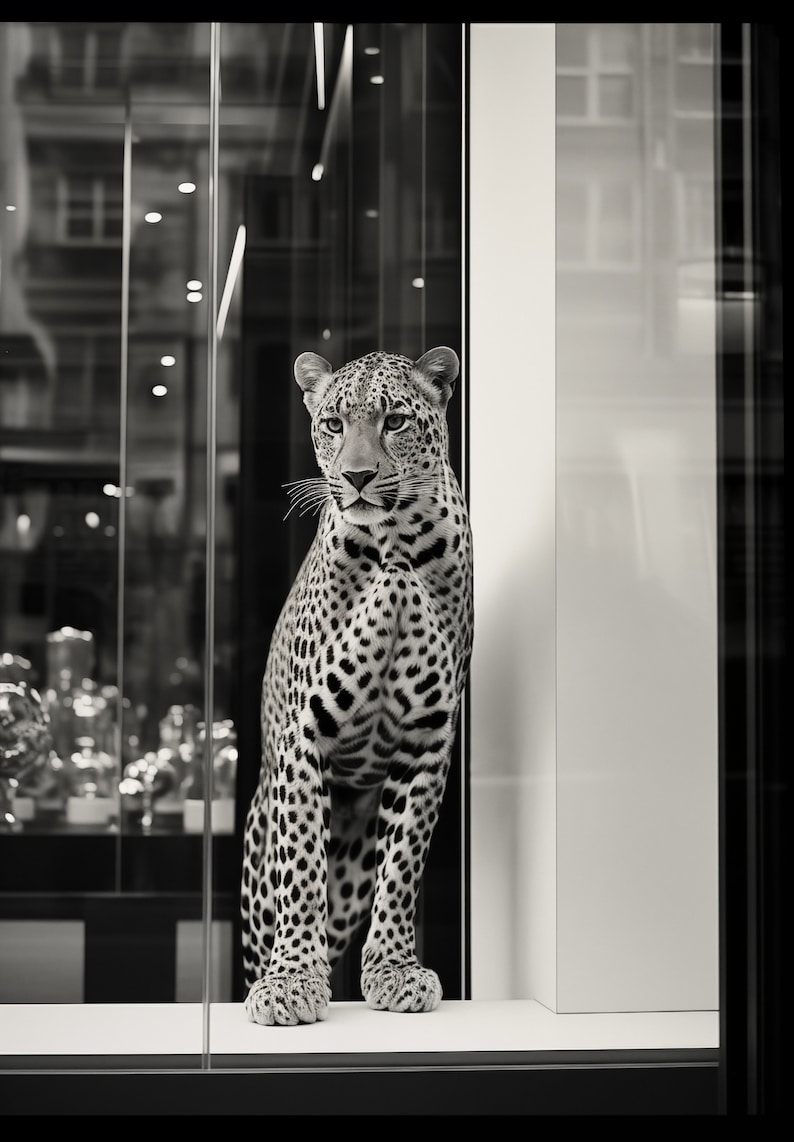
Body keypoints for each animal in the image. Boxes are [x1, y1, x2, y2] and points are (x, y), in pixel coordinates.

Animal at [241, 346, 473, 1026]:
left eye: (394, 421)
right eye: (333, 424)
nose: (360, 476)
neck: (393, 548)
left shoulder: (426, 739)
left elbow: (403, 866)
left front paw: (394, 972)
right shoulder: (304, 736)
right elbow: (300, 868)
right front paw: (292, 981)